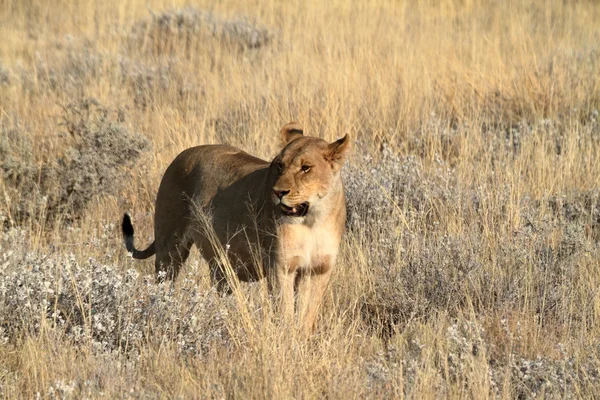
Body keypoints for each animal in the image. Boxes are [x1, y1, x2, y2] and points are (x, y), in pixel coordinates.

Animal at [120, 122, 352, 334]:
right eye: (279, 165)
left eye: (306, 168)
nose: (278, 192)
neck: (313, 220)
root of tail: (181, 155)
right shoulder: (280, 266)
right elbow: (285, 312)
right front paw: (287, 339)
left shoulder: (318, 269)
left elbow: (307, 314)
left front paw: (301, 340)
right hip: (170, 248)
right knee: (163, 283)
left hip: (220, 264)